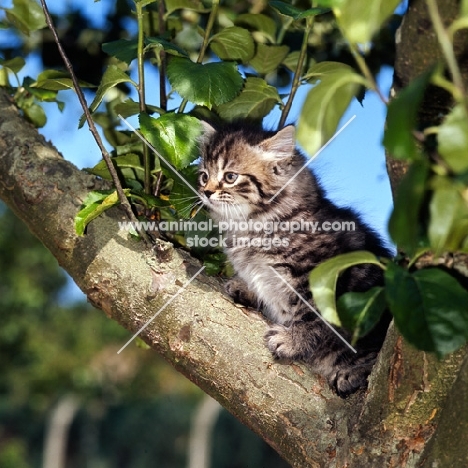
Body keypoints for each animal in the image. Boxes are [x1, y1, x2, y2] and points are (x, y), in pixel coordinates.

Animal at [197, 122, 392, 396]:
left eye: (230, 177)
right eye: (204, 175)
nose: (205, 192)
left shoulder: (323, 274)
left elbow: (313, 316)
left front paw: (292, 341)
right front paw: (244, 287)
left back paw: (353, 372)